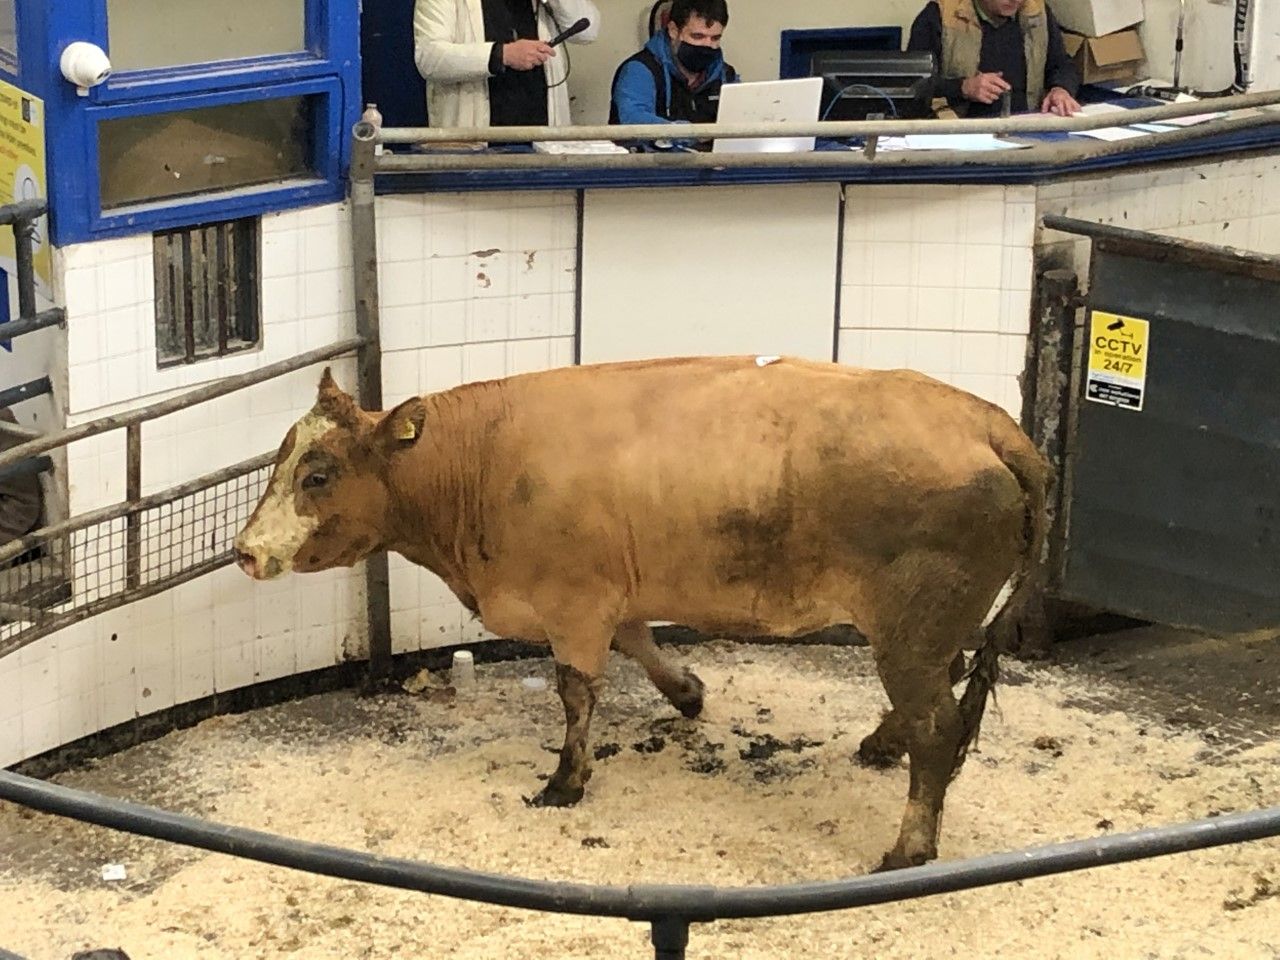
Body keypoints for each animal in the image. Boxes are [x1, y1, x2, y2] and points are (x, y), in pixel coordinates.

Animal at [234, 356, 1048, 870]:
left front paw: (565, 782)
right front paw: (687, 693)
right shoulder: (611, 593)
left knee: (938, 728)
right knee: (940, 691)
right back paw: (882, 743)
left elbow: (576, 693)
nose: (244, 551)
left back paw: (909, 847)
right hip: (926, 627)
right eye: (278, 460)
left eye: (317, 474)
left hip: (909, 628)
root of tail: (987, 424)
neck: (486, 458)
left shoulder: (573, 602)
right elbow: (640, 644)